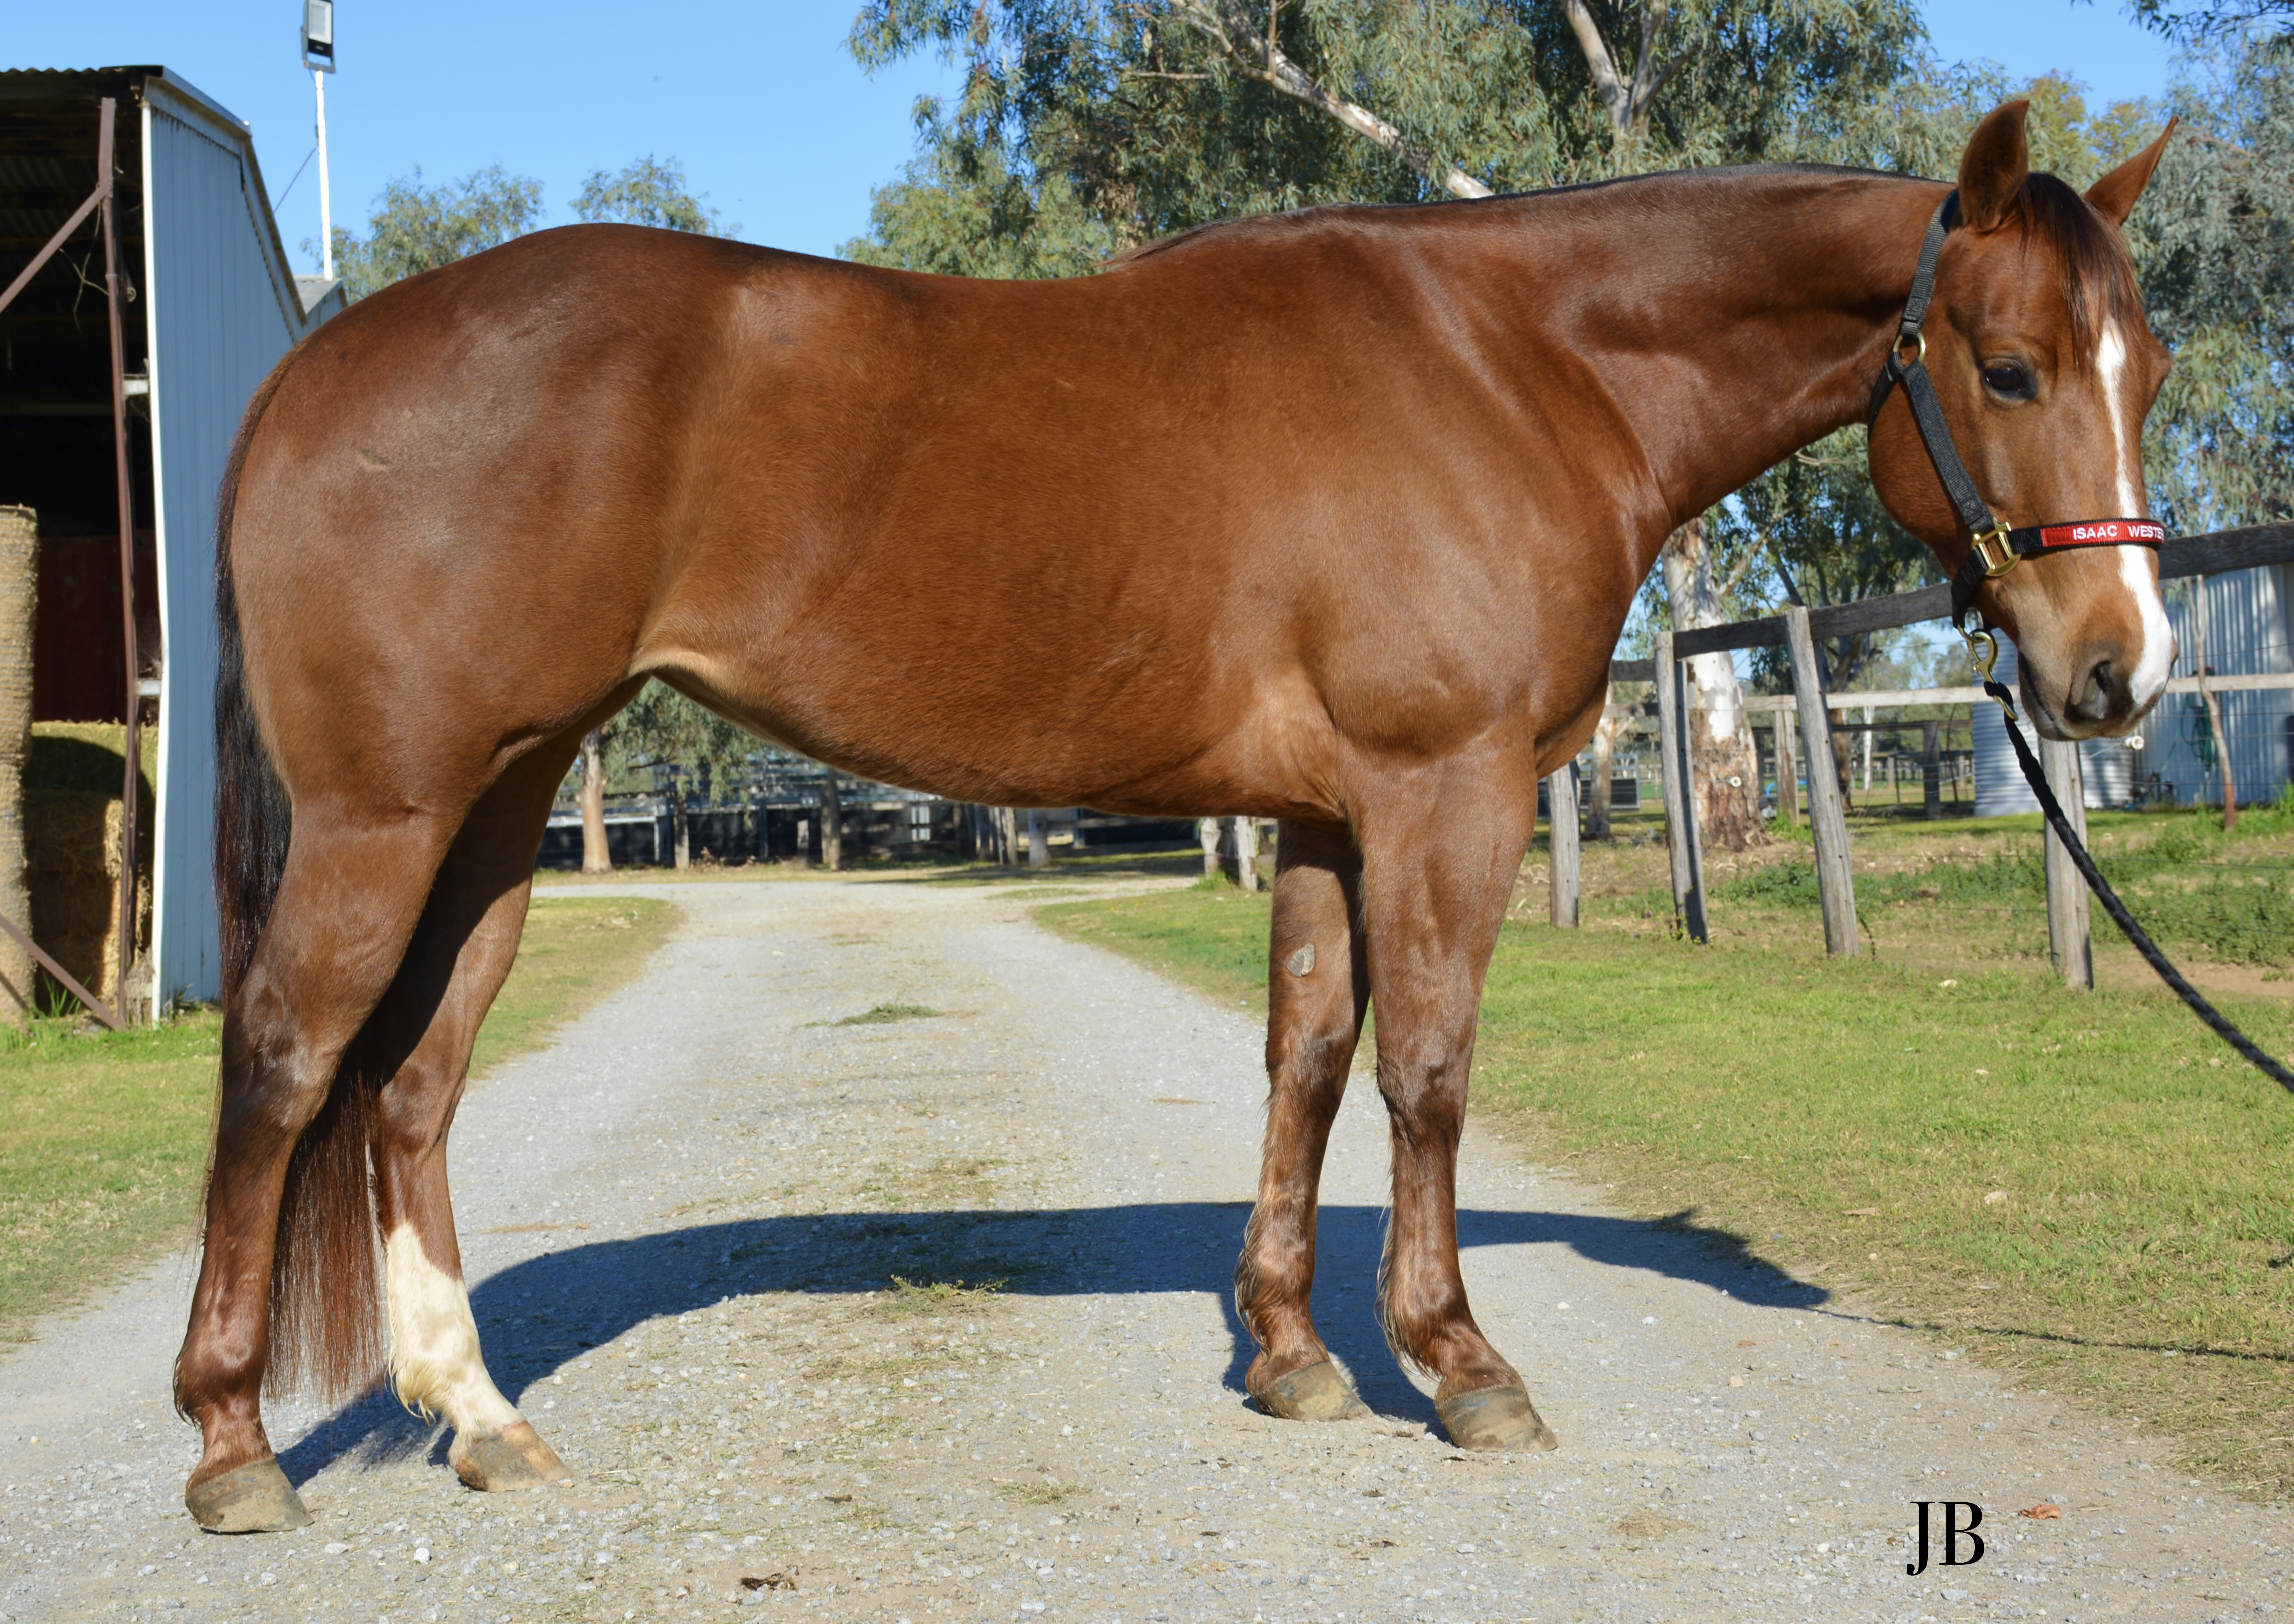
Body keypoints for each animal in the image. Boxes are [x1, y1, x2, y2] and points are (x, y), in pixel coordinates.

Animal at [176, 99, 2176, 1531]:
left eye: (2141, 370)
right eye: (2005, 367)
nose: (2117, 670)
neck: (1512, 359)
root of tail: (310, 370)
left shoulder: (1323, 812)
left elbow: (1304, 1055)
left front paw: (1290, 1350)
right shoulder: (1438, 792)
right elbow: (1425, 1067)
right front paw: (1457, 1361)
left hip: (499, 810)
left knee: (411, 1085)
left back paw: (479, 1416)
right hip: (387, 818)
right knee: (286, 1066)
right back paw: (231, 1447)